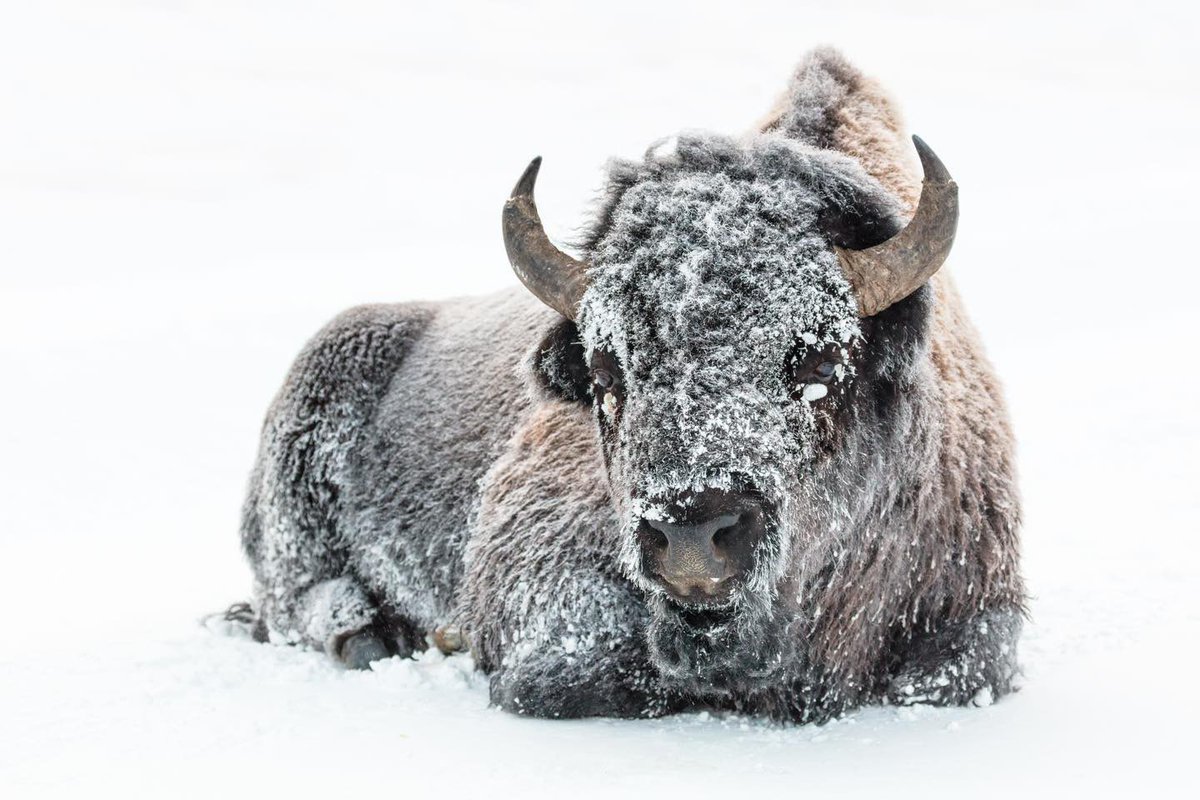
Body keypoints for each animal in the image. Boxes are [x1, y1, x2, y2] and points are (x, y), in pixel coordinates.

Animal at [238, 50, 1027, 724]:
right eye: (606, 368)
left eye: (821, 361)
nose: (693, 535)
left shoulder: (979, 608)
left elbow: (954, 672)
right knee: (299, 596)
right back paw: (375, 636)